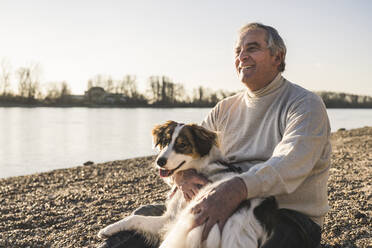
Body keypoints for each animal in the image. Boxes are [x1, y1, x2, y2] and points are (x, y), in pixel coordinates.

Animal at [97, 121, 278, 248]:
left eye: (182, 145)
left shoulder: (170, 220)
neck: (201, 167)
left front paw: (108, 229)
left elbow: (136, 218)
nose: (159, 161)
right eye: (165, 142)